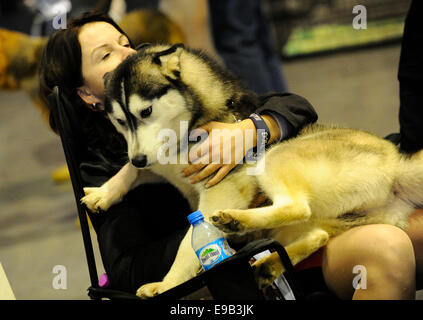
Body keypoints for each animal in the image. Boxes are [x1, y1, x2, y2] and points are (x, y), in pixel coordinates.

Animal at [82, 43, 423, 298]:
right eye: (119, 121)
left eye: (146, 111)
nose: (141, 158)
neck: (187, 127)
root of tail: (397, 163)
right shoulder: (157, 163)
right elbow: (129, 168)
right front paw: (104, 192)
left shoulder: (221, 186)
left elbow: (187, 246)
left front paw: (168, 284)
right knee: (318, 235)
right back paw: (268, 264)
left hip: (275, 158)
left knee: (295, 206)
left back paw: (237, 221)